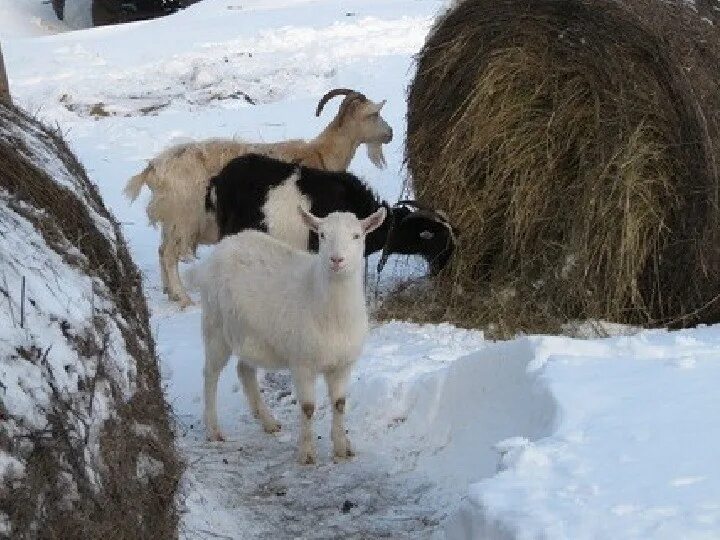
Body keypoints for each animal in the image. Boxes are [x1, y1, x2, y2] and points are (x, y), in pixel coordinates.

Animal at [124, 88, 394, 308]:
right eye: (373, 114)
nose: (390, 133)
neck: (319, 153)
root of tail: (153, 170)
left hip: (171, 221)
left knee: (162, 251)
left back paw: (169, 292)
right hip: (184, 218)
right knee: (170, 255)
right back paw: (183, 298)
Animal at [188, 207, 386, 464]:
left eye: (357, 236)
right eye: (322, 235)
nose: (336, 260)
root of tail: (219, 249)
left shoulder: (343, 364)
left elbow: (340, 404)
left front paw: (342, 447)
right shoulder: (302, 362)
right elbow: (308, 407)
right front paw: (307, 453)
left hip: (251, 335)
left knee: (244, 370)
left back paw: (268, 421)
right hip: (215, 326)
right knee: (210, 374)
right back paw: (213, 429)